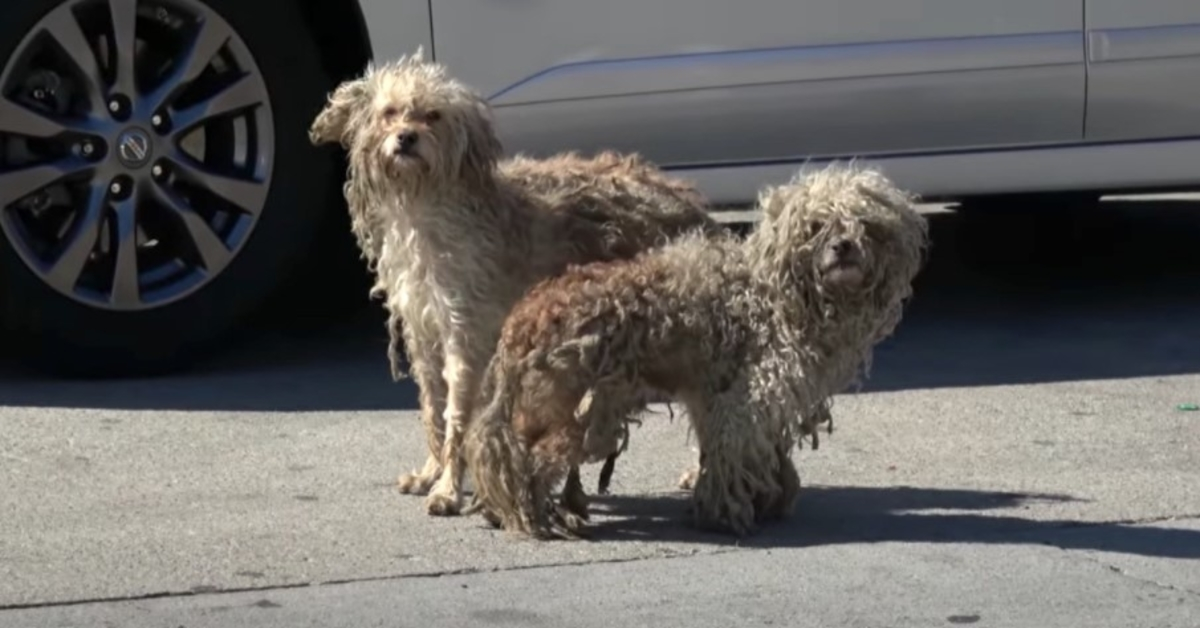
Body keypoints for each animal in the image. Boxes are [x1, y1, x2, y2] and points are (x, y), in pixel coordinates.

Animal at [309, 50, 720, 516]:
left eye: (433, 115)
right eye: (389, 112)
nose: (406, 138)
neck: (425, 204)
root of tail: (688, 202)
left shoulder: (465, 332)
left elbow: (456, 414)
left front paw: (448, 488)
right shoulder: (423, 332)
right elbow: (433, 407)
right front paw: (431, 472)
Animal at [460, 164, 926, 537]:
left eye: (866, 224)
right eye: (815, 226)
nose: (843, 246)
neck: (777, 292)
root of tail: (521, 320)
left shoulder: (719, 399)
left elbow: (749, 451)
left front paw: (766, 496)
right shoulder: (746, 400)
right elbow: (732, 452)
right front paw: (727, 512)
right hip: (571, 411)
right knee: (527, 461)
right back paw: (536, 516)